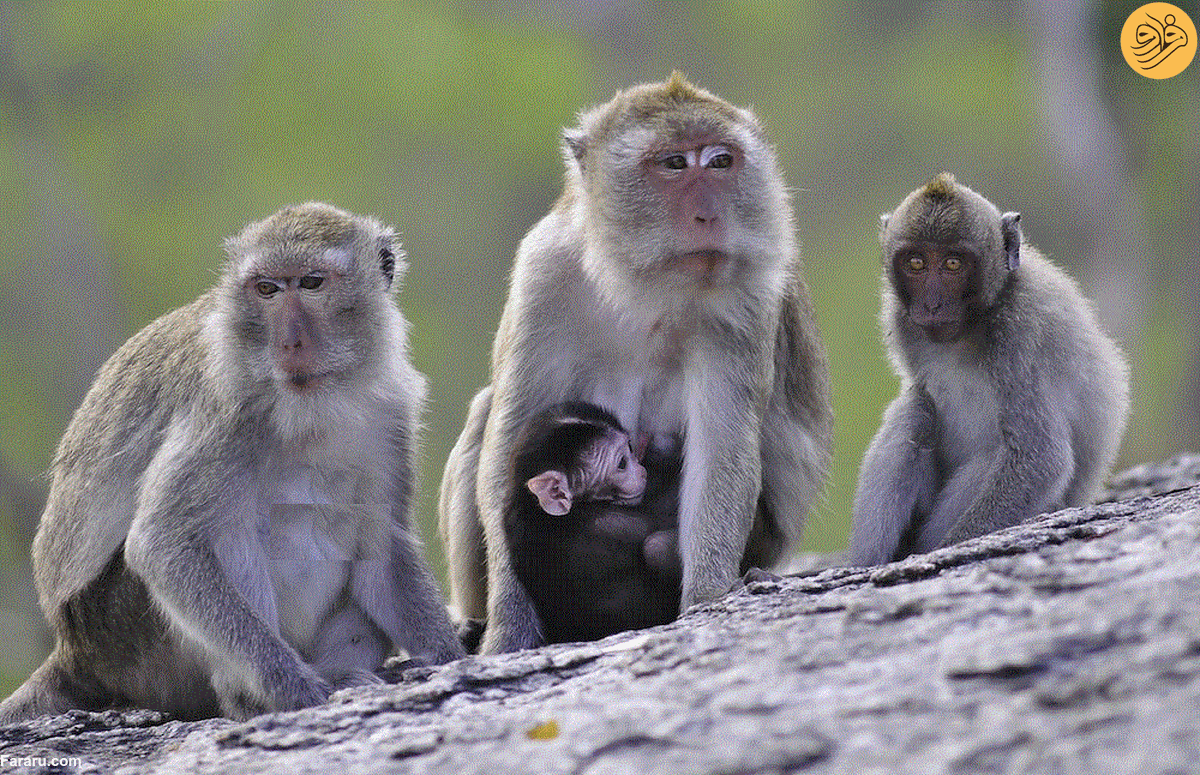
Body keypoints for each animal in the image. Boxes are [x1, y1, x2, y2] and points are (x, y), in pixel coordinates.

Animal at [0, 202, 463, 724]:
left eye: (311, 283)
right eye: (266, 289)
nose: (290, 342)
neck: (313, 403)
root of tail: (70, 652)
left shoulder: (390, 413)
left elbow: (383, 545)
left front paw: (447, 657)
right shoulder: (220, 411)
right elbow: (164, 545)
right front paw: (295, 689)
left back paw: (346, 674)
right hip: (125, 640)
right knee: (226, 530)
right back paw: (251, 701)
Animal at [505, 402, 682, 645]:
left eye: (630, 448)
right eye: (622, 464)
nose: (642, 472)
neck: (534, 509)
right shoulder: (610, 525)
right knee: (656, 547)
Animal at [849, 173, 1130, 566]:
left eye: (953, 264)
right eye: (916, 263)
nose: (932, 304)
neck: (974, 324)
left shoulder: (1020, 331)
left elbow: (1040, 457)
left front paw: (948, 549)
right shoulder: (902, 321)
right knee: (915, 413)